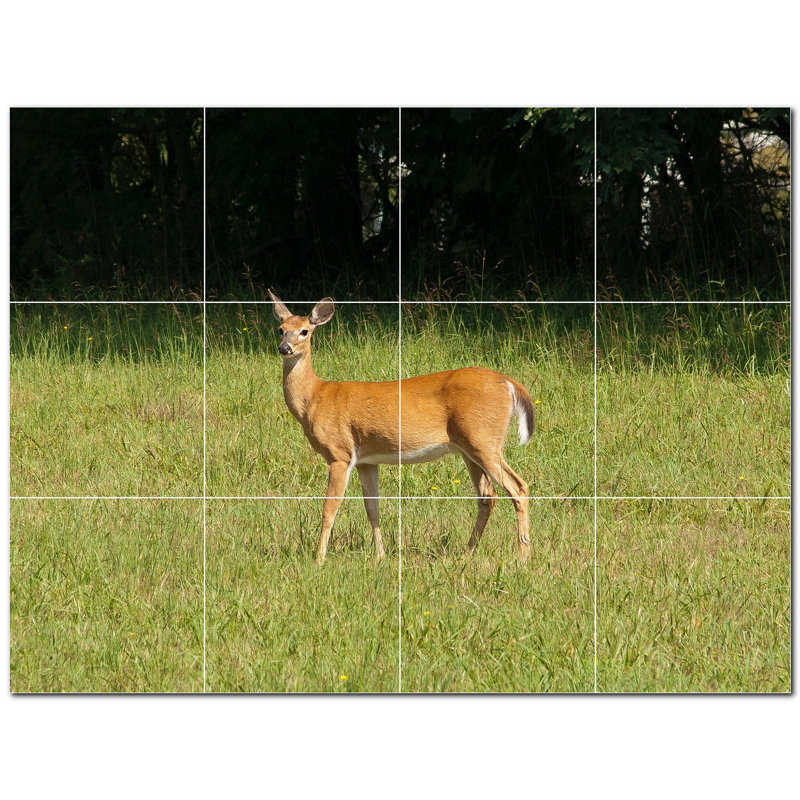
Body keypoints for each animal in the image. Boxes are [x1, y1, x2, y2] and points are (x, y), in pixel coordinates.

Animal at [268, 290, 535, 565]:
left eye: (304, 331)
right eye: (280, 329)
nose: (284, 348)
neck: (314, 398)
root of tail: (510, 383)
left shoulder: (339, 453)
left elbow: (329, 509)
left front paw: (318, 559)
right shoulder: (366, 460)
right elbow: (372, 508)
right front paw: (380, 556)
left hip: (483, 438)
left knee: (518, 487)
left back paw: (523, 557)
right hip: (468, 447)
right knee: (487, 495)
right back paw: (468, 551)